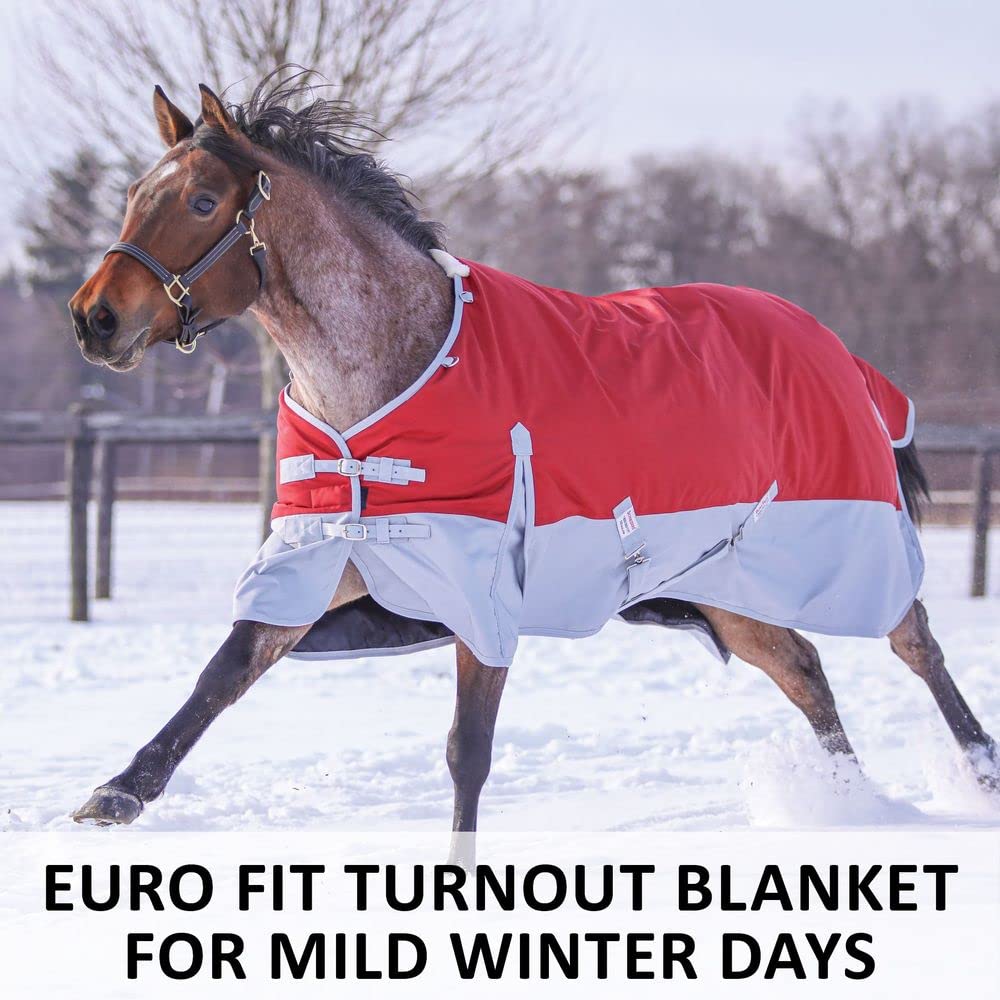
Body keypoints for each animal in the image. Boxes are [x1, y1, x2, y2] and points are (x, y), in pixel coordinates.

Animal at [67, 73, 998, 852]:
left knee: (914, 640)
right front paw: (119, 792)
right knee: (807, 673)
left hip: (841, 539)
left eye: (201, 200)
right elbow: (223, 674)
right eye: (133, 196)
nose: (94, 318)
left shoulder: (480, 584)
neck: (394, 376)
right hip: (725, 583)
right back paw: (845, 801)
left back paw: (976, 769)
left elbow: (467, 749)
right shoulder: (328, 554)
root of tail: (834, 348)